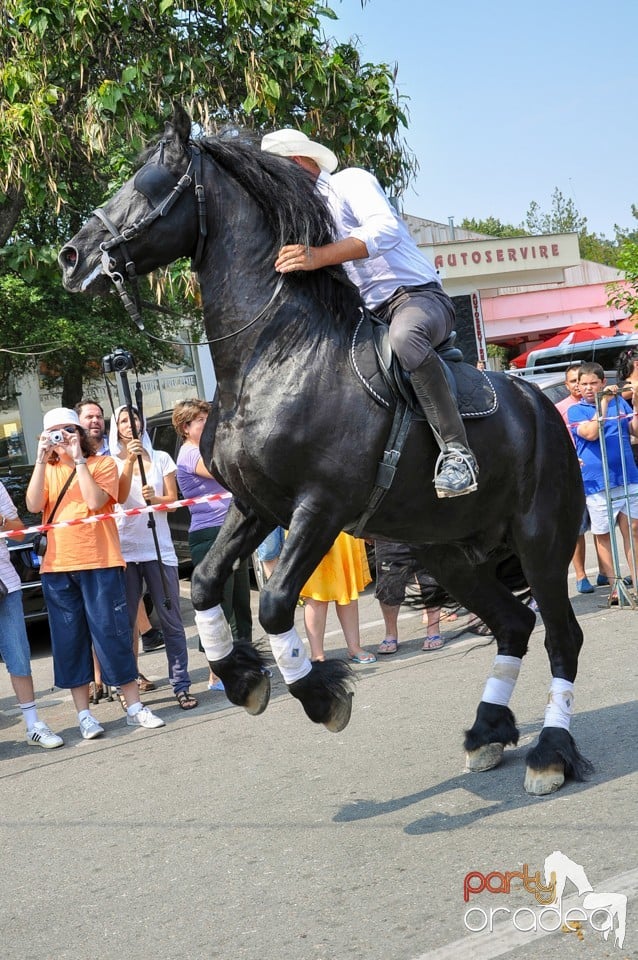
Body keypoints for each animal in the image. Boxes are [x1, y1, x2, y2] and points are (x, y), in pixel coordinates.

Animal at [61, 107, 596, 796]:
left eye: (148, 181)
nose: (71, 256)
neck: (275, 354)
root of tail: (545, 408)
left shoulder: (321, 506)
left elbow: (273, 603)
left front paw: (318, 693)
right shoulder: (256, 504)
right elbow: (206, 585)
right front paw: (243, 677)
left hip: (540, 541)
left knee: (561, 637)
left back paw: (550, 753)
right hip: (450, 552)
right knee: (514, 625)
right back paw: (487, 732)